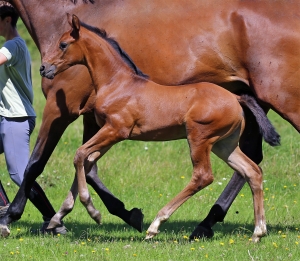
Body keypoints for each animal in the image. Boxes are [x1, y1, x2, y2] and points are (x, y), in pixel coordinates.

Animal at [0, 0, 300, 238]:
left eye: (63, 44)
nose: (44, 68)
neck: (118, 81)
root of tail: (236, 99)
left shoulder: (111, 129)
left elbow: (70, 157)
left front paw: (88, 211)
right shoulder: (105, 130)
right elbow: (87, 162)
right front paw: (62, 215)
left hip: (201, 138)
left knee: (203, 176)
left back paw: (159, 224)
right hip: (224, 144)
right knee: (252, 170)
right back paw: (255, 231)